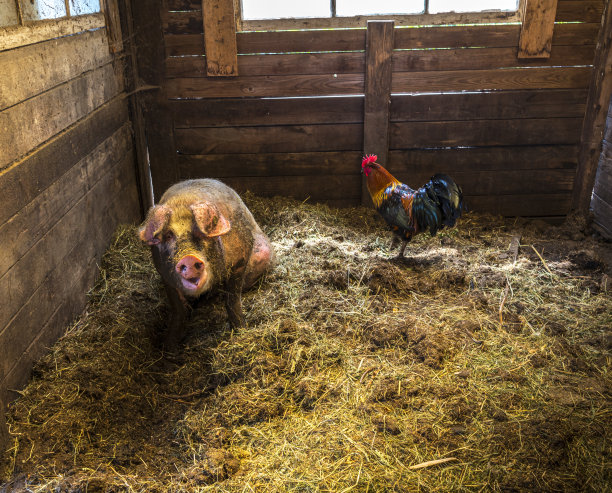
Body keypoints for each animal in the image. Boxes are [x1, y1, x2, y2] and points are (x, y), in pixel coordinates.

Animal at [140, 177, 274, 342]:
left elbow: (232, 299)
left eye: (200, 233)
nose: (188, 258)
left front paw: (240, 330)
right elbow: (177, 308)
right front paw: (169, 343)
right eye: (169, 235)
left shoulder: (240, 261)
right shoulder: (164, 274)